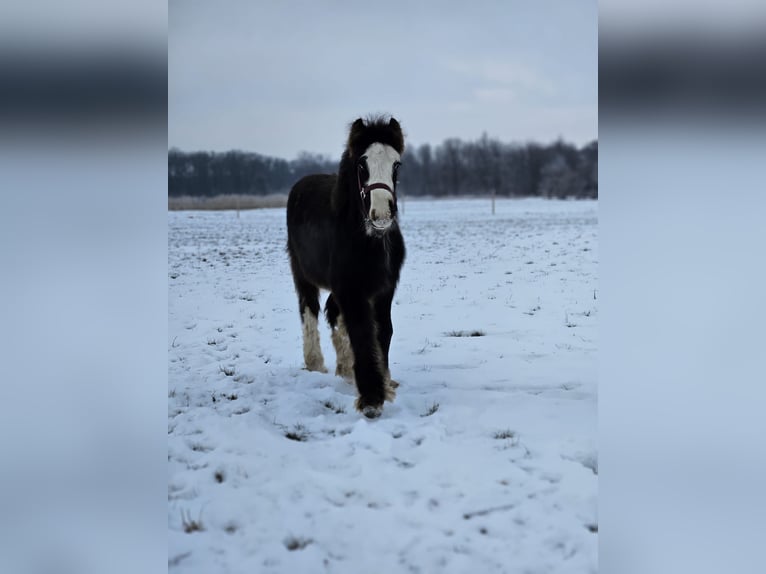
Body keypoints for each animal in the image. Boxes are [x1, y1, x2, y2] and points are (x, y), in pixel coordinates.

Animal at [288, 116, 408, 418]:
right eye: (362, 165)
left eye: (396, 164)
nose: (382, 214)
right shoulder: (351, 288)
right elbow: (362, 331)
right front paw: (371, 399)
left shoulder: (383, 288)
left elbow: (383, 330)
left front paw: (384, 382)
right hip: (302, 274)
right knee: (309, 310)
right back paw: (315, 362)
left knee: (332, 311)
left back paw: (344, 367)